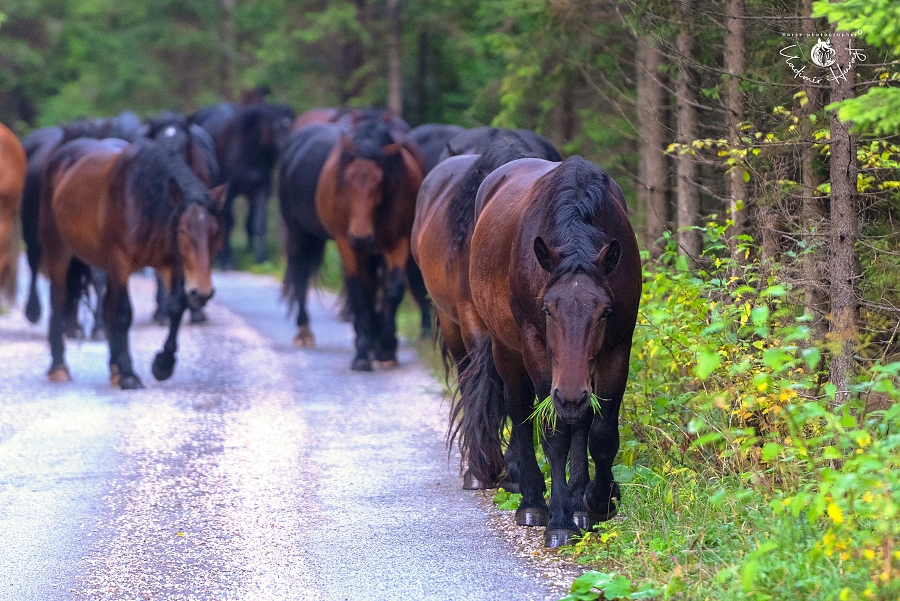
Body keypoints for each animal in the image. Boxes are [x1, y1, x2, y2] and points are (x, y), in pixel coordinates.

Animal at [40, 137, 225, 390]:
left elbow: (176, 307)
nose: (203, 292)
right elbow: (123, 314)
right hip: (59, 252)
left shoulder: (171, 265)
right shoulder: (120, 265)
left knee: (105, 307)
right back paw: (59, 367)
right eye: (182, 230)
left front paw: (163, 364)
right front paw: (129, 374)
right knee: (59, 301)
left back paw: (114, 368)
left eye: (215, 233)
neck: (144, 201)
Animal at [280, 115, 424, 368]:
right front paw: (363, 351)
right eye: (348, 179)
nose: (361, 236)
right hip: (299, 232)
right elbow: (358, 290)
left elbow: (392, 289)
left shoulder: (398, 241)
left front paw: (386, 348)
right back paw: (304, 331)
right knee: (300, 276)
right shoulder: (346, 244)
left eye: (380, 180)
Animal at [460, 157, 644, 548]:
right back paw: (532, 502)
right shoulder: (537, 351)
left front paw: (596, 501)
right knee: (519, 413)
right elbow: (553, 433)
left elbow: (601, 434)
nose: (571, 395)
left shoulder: (618, 348)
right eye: (547, 309)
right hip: (507, 351)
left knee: (580, 422)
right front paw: (560, 521)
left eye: (605, 311)